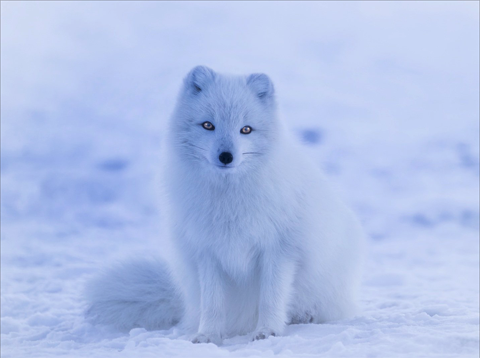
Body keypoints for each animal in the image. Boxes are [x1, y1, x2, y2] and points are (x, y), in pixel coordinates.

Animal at [86, 66, 364, 344]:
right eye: (208, 125)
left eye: (246, 129)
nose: (226, 156)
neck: (229, 200)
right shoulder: (207, 252)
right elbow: (212, 304)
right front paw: (208, 336)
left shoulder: (279, 250)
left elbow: (271, 298)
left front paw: (267, 331)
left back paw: (304, 316)